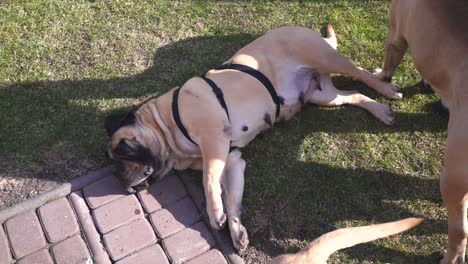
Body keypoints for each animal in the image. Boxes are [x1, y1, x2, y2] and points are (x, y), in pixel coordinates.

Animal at [106, 24, 402, 250]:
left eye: (123, 148)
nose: (120, 179)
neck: (166, 124)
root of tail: (298, 26)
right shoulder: (232, 160)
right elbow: (232, 199)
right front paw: (235, 229)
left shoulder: (214, 139)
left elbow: (209, 180)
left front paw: (215, 214)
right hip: (324, 96)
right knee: (354, 95)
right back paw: (380, 111)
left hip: (324, 57)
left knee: (361, 73)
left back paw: (387, 89)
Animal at [372, 1, 468, 262]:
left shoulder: (395, 34)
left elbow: (389, 64)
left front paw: (380, 77)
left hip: (453, 178)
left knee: (460, 232)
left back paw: (448, 257)